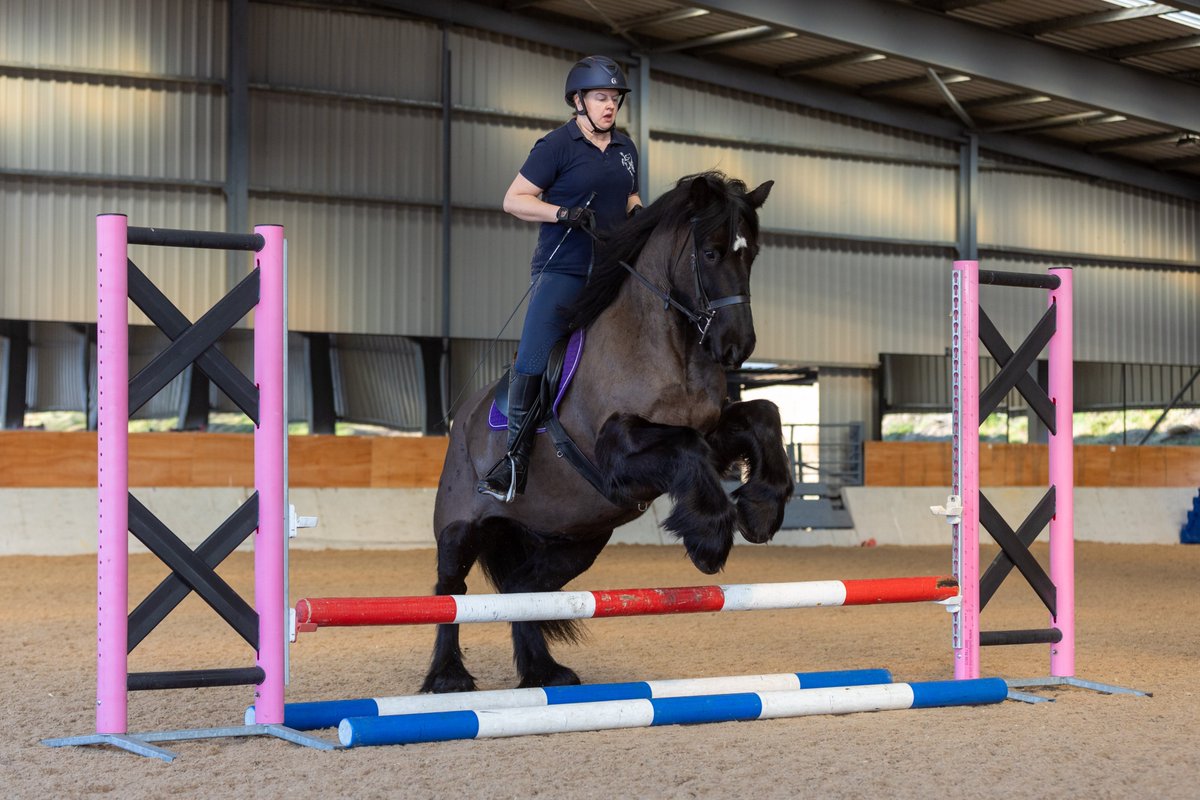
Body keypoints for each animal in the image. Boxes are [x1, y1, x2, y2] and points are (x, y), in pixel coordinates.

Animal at [423, 171, 795, 693]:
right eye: (711, 253)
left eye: (751, 254)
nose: (736, 347)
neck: (670, 347)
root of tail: (463, 420)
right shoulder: (616, 453)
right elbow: (686, 448)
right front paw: (709, 540)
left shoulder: (710, 432)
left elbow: (763, 415)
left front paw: (761, 510)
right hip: (460, 526)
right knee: (450, 590)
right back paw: (448, 677)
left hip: (575, 540)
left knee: (522, 589)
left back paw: (544, 672)